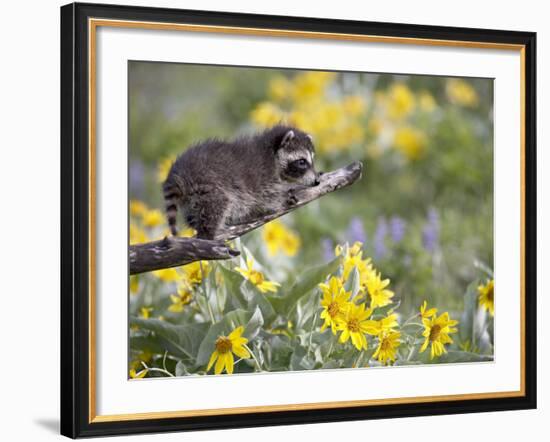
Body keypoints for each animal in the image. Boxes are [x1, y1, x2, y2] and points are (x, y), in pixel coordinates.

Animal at [162, 126, 322, 240]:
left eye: (312, 160)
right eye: (302, 162)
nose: (316, 182)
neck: (272, 153)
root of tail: (178, 173)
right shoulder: (263, 178)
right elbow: (268, 199)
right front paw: (288, 192)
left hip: (189, 199)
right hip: (207, 183)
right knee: (218, 203)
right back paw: (208, 233)